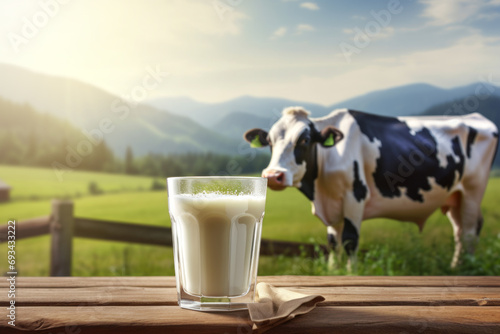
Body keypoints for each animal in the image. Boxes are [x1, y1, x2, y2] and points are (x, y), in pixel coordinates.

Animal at [244, 108, 498, 268]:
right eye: (269, 142)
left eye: (304, 140)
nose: (273, 176)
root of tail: (477, 117)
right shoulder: (332, 206)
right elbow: (333, 243)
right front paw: (333, 271)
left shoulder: (354, 197)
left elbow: (349, 241)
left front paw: (350, 273)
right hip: (455, 196)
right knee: (460, 232)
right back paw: (457, 267)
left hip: (473, 190)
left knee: (469, 231)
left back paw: (467, 268)